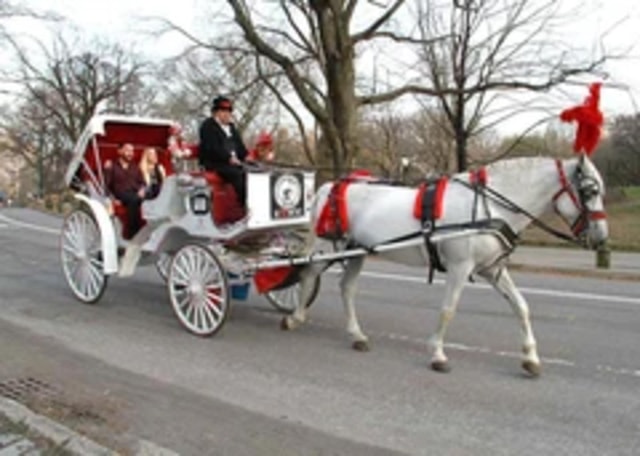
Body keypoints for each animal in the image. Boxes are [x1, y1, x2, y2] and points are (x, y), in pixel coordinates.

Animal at [282, 155, 608, 376]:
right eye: (589, 191)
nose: (601, 238)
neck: (490, 206)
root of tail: (332, 186)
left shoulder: (493, 270)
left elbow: (521, 306)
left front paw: (530, 358)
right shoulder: (460, 268)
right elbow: (448, 310)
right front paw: (437, 354)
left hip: (356, 250)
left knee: (347, 288)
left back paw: (357, 335)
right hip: (328, 248)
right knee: (308, 273)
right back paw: (295, 317)